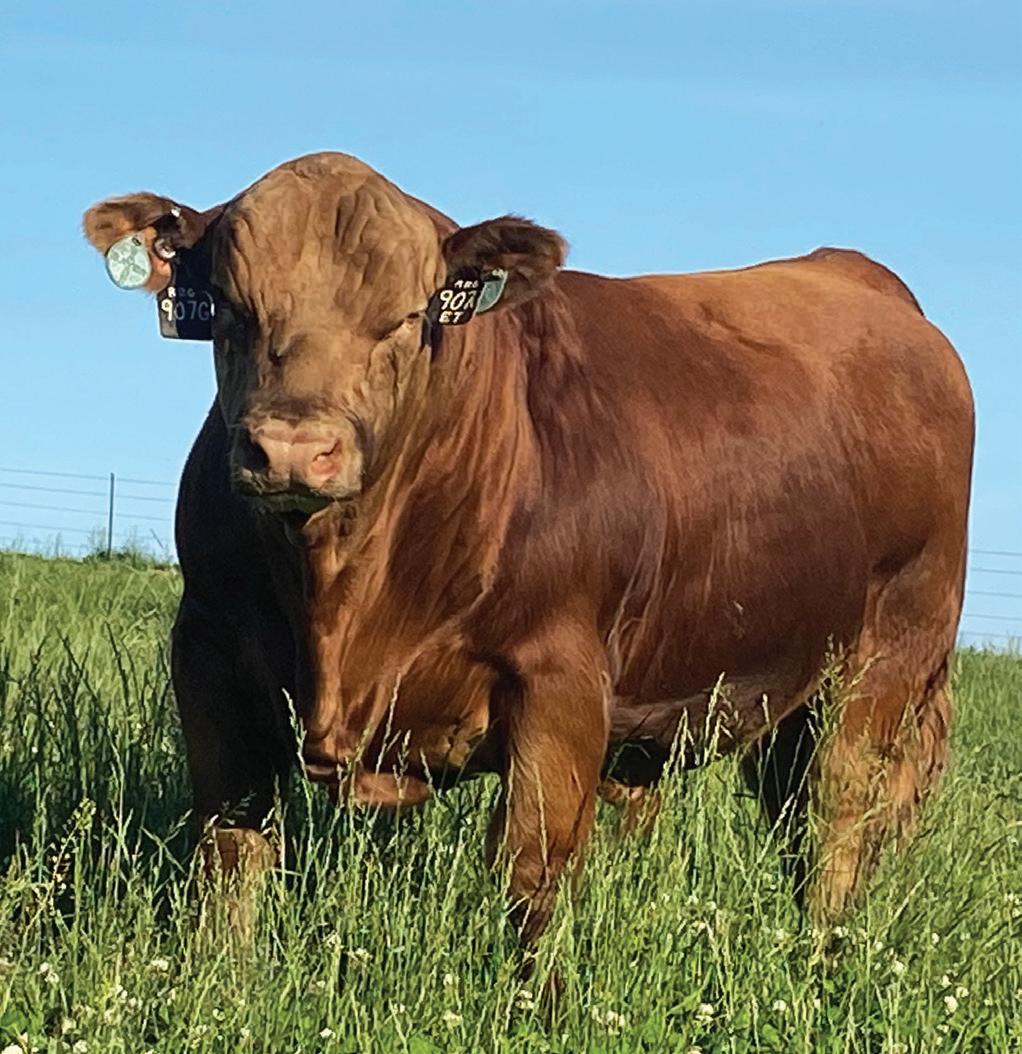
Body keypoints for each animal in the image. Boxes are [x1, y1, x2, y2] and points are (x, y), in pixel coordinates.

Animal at [83, 151, 973, 945]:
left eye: (406, 319)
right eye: (230, 309)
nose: (296, 449)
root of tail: (862, 276)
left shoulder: (560, 680)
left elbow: (534, 879)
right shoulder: (207, 651)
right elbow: (230, 852)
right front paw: (220, 981)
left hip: (887, 657)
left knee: (838, 816)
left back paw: (818, 955)